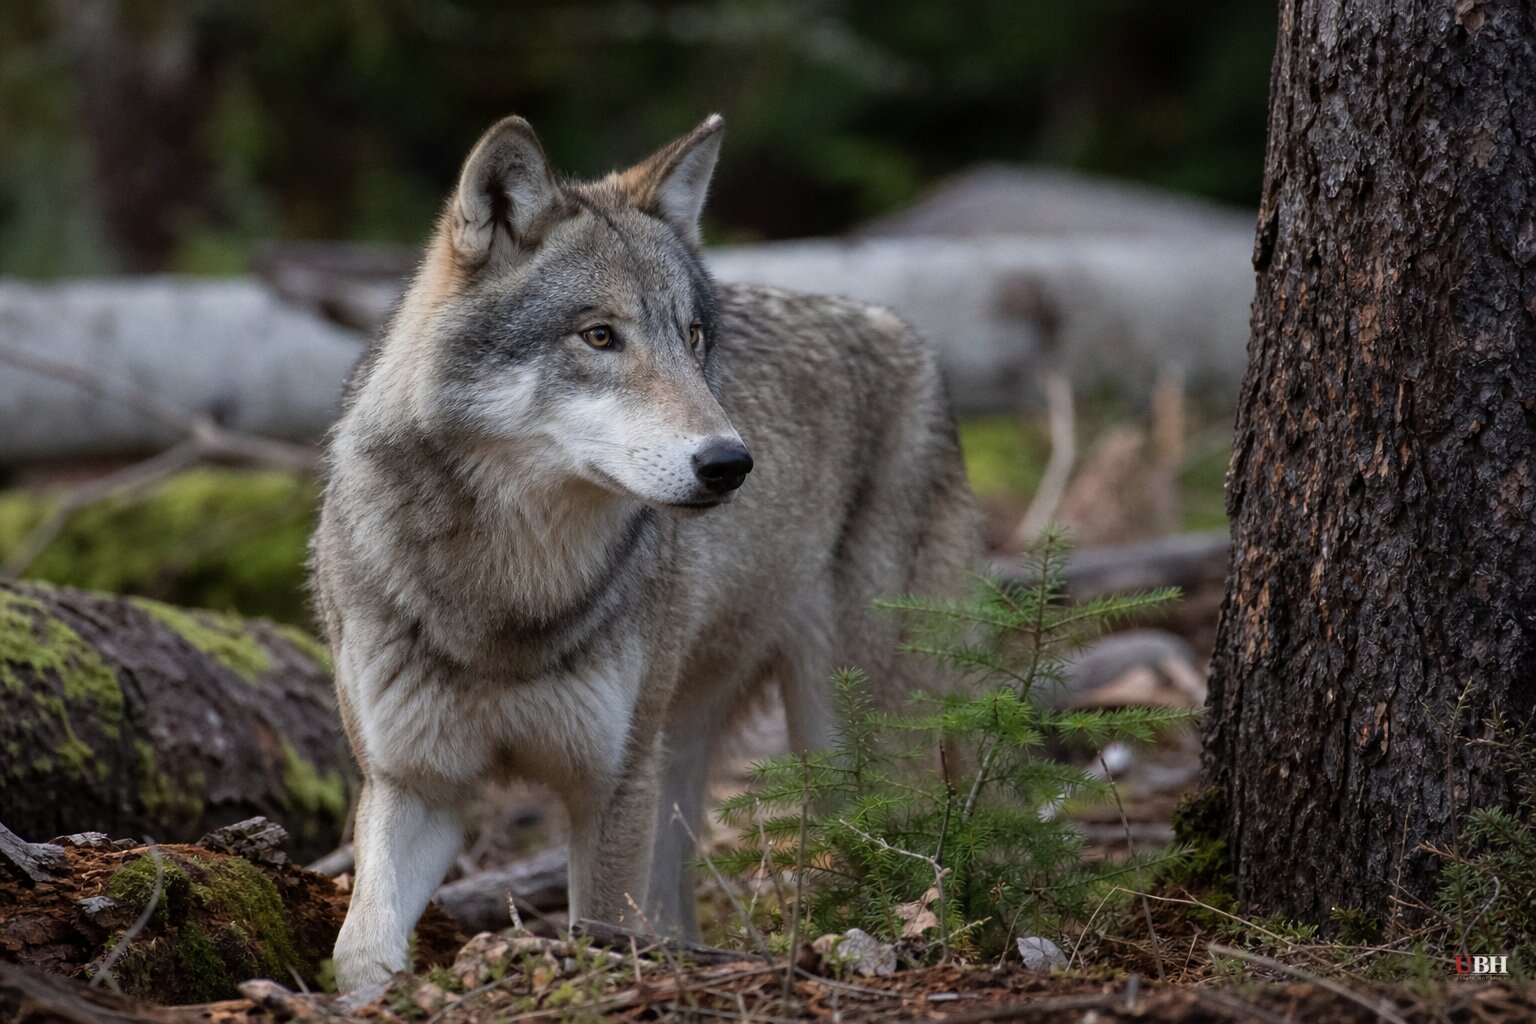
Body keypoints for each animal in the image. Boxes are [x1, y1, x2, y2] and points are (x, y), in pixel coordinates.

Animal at [311, 113, 979, 990]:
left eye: (692, 339)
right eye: (600, 336)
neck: (509, 592)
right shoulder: (413, 788)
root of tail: (906, 334)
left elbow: (598, 933)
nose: (731, 463)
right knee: (676, 911)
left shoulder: (613, 787)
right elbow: (359, 948)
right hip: (684, 750)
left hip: (843, 749)